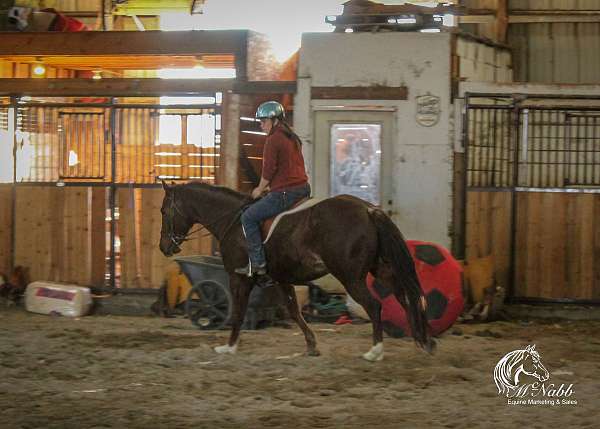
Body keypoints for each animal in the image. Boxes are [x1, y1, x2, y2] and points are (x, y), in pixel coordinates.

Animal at [157, 181, 434, 362]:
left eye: (163, 210)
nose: (164, 247)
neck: (232, 220)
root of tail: (368, 209)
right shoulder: (282, 279)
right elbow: (294, 310)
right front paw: (311, 345)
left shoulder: (238, 278)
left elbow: (237, 312)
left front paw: (229, 347)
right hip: (380, 269)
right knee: (407, 296)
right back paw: (424, 341)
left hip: (351, 276)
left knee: (375, 305)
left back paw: (375, 351)